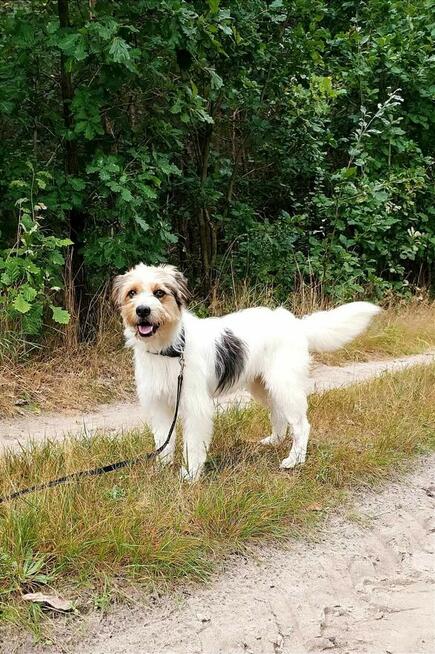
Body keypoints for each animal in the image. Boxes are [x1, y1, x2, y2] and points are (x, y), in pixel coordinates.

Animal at [113, 264, 382, 484]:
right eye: (132, 293)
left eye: (159, 292)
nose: (143, 310)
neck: (169, 349)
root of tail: (294, 323)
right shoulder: (158, 405)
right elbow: (163, 442)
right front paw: (162, 468)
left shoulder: (196, 407)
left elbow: (193, 445)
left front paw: (190, 475)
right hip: (261, 385)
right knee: (278, 414)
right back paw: (274, 441)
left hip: (284, 384)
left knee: (301, 425)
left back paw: (295, 460)